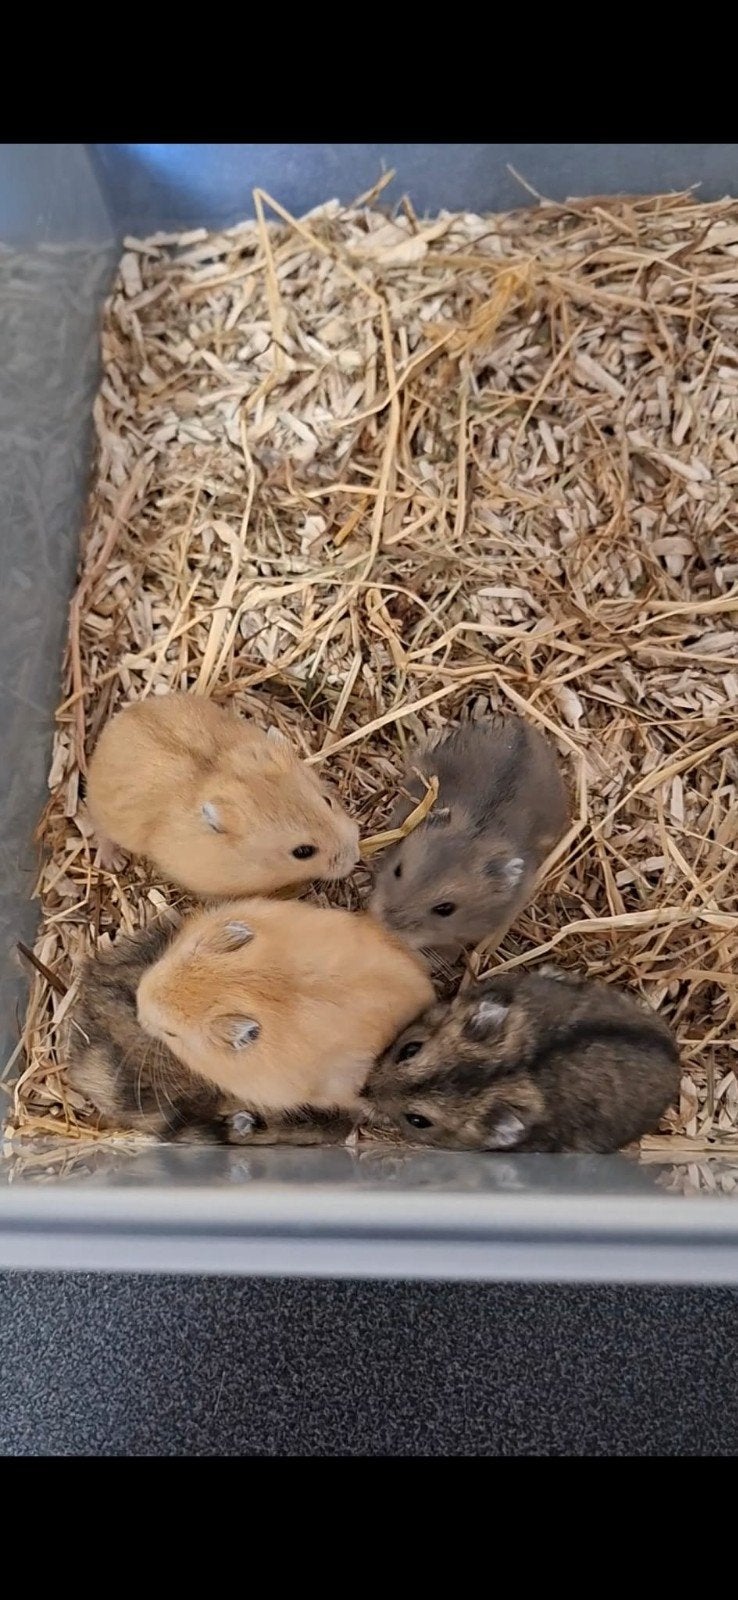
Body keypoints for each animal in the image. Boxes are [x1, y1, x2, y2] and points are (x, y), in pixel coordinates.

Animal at [86, 693, 360, 898]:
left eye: (328, 801)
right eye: (303, 852)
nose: (355, 856)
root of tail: (110, 729)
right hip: (105, 813)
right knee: (101, 832)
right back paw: (115, 861)